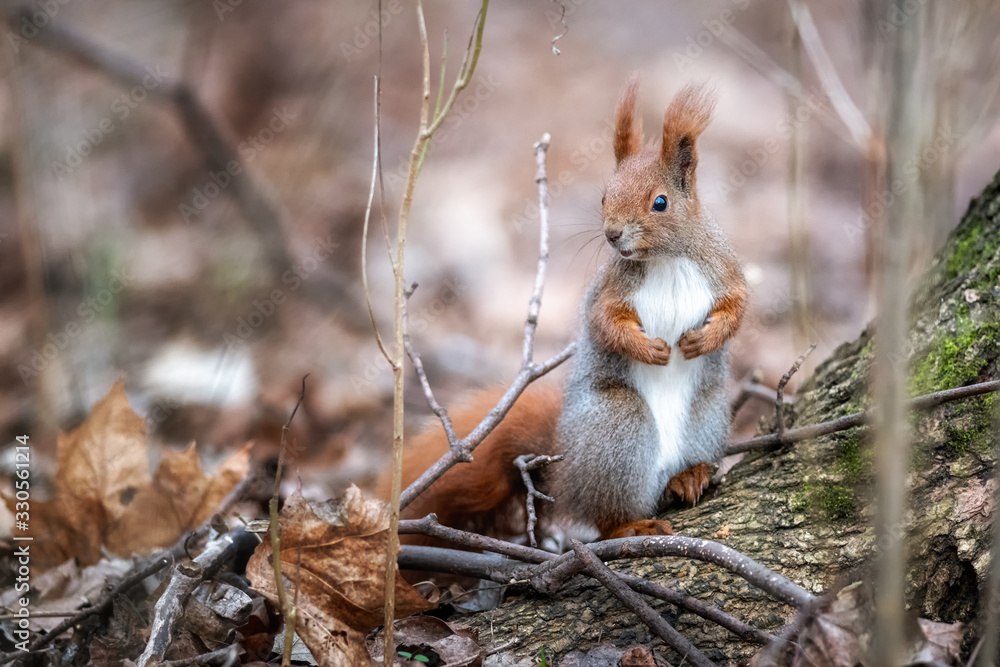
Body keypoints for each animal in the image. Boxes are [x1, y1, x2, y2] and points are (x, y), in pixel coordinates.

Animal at [381, 78, 747, 545]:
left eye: (660, 203)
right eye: (605, 196)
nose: (612, 235)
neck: (665, 258)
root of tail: (566, 468)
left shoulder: (724, 271)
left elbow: (737, 307)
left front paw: (705, 338)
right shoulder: (608, 291)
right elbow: (605, 322)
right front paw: (648, 350)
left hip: (707, 414)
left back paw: (689, 475)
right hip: (616, 426)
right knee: (604, 520)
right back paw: (630, 523)